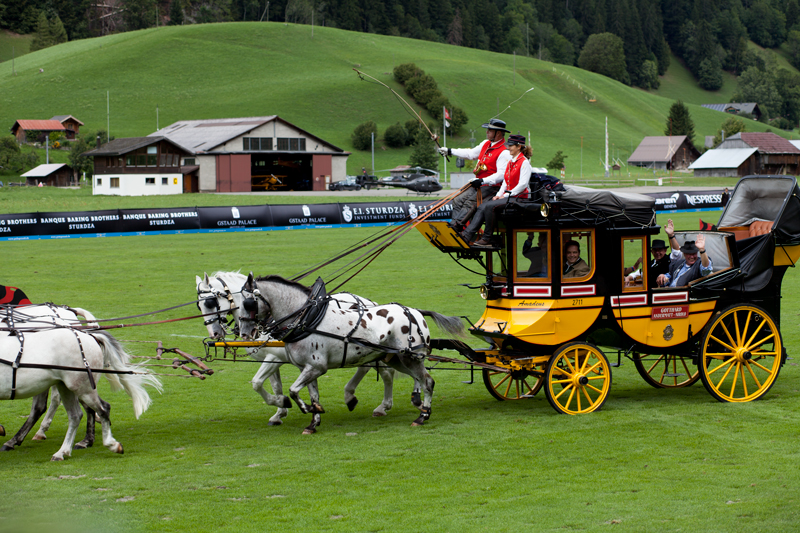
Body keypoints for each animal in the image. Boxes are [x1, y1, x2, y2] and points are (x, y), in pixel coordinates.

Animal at [0, 314, 161, 460]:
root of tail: (90, 336)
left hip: (83, 388)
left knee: (102, 409)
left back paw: (109, 444)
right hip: (66, 387)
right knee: (75, 415)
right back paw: (62, 451)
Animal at [195, 272, 412, 422]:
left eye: (211, 301)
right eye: (199, 305)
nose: (214, 334)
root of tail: (370, 302)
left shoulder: (274, 358)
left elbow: (257, 383)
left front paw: (283, 404)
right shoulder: (272, 359)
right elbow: (273, 385)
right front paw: (280, 411)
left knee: (384, 373)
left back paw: (380, 405)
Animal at [234, 274, 466, 432]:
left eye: (248, 303)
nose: (244, 333)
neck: (309, 319)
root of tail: (415, 311)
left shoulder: (316, 367)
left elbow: (292, 391)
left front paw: (305, 409)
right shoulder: (307, 369)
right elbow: (310, 394)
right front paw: (313, 420)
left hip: (409, 358)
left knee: (427, 381)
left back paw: (422, 416)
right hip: (398, 359)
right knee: (414, 378)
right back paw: (416, 406)